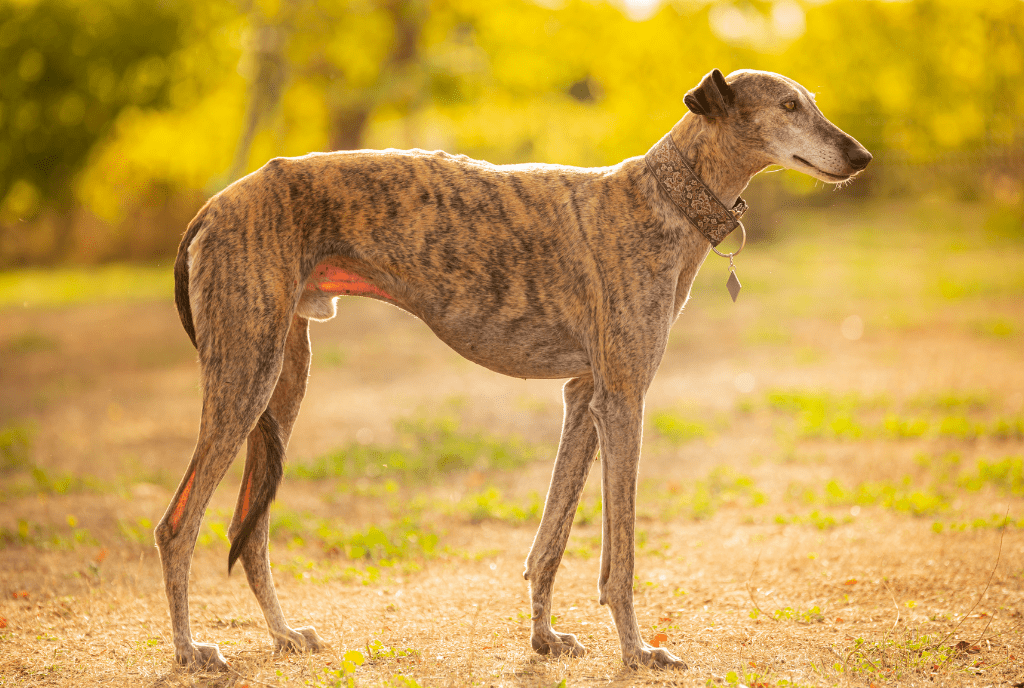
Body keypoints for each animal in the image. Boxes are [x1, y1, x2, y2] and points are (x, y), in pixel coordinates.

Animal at [157, 67, 872, 667]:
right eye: (788, 106)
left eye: (811, 101)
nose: (862, 157)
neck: (661, 198)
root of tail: (212, 207)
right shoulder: (623, 400)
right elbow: (620, 555)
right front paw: (638, 652)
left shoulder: (583, 396)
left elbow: (550, 540)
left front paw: (546, 639)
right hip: (244, 378)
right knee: (176, 526)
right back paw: (192, 651)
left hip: (282, 380)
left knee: (247, 529)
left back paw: (283, 634)